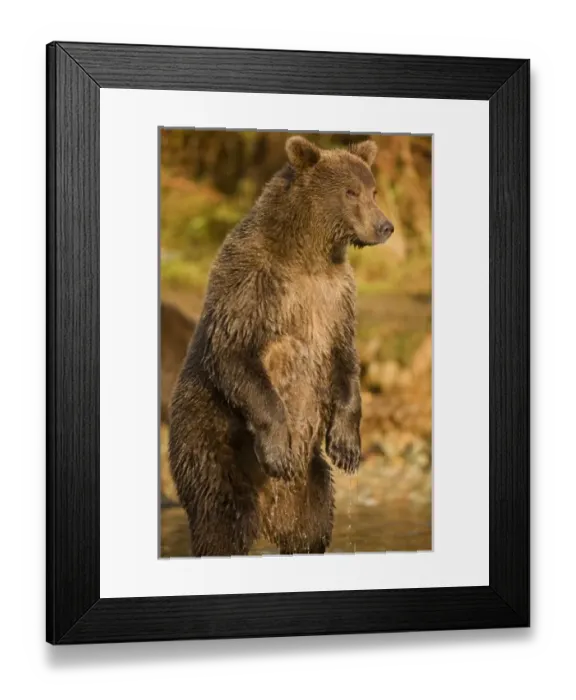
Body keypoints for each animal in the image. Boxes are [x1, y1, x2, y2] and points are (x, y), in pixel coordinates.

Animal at [168, 135, 394, 556]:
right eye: (350, 191)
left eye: (373, 190)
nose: (384, 225)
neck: (308, 254)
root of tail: (269, 504)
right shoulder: (253, 283)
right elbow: (235, 352)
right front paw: (278, 449)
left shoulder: (335, 298)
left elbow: (345, 358)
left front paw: (347, 447)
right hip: (211, 446)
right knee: (221, 521)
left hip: (308, 481)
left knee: (311, 527)